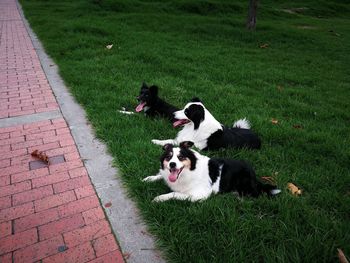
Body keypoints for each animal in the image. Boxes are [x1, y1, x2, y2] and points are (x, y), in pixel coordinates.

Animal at [142, 142, 278, 202]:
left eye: (180, 157)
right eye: (169, 157)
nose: (172, 164)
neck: (190, 170)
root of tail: (255, 178)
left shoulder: (200, 194)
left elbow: (175, 193)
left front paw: (160, 198)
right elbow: (161, 175)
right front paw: (148, 179)